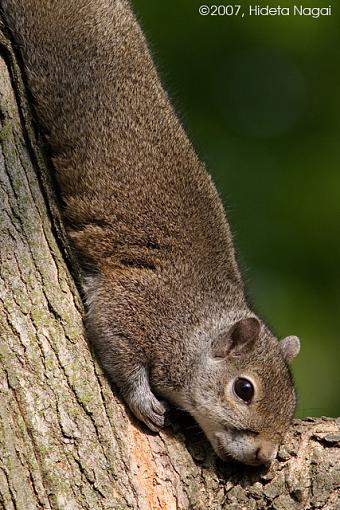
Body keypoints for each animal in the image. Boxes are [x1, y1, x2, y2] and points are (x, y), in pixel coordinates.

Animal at [1, 0, 300, 466]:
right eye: (244, 389)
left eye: (292, 405)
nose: (263, 457)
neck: (195, 319)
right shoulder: (136, 302)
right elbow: (111, 339)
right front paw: (144, 401)